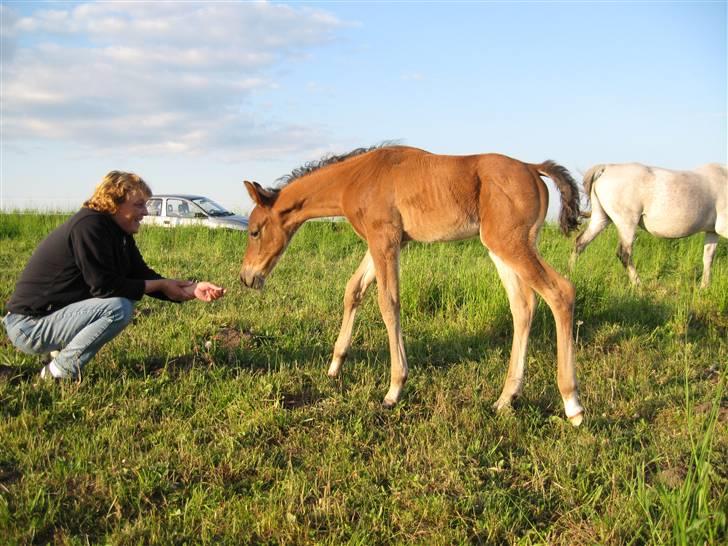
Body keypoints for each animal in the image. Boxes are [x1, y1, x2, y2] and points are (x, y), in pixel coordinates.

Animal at [242, 143, 584, 420]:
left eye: (254, 231)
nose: (247, 277)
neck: (355, 178)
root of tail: (532, 167)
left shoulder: (384, 240)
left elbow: (388, 303)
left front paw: (394, 390)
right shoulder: (384, 242)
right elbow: (354, 290)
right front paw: (335, 365)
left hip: (510, 243)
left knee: (561, 292)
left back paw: (572, 404)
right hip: (500, 248)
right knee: (523, 306)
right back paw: (505, 398)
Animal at [572, 162, 724, 286]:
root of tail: (606, 168)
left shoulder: (712, 232)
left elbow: (708, 258)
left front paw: (704, 287)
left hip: (601, 219)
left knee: (580, 243)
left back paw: (571, 272)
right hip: (627, 223)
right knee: (624, 254)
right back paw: (638, 285)